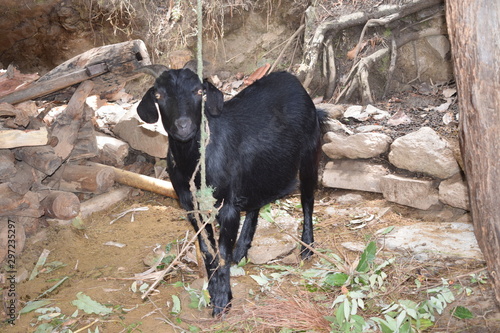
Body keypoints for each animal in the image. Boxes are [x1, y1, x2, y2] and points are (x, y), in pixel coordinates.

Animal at [137, 65, 326, 316]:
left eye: (199, 91)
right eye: (159, 95)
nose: (183, 125)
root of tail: (292, 80)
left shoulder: (226, 205)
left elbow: (222, 253)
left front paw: (222, 299)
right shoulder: (192, 207)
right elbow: (208, 251)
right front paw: (212, 290)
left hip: (309, 153)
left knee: (307, 199)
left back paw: (307, 246)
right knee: (257, 202)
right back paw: (242, 248)